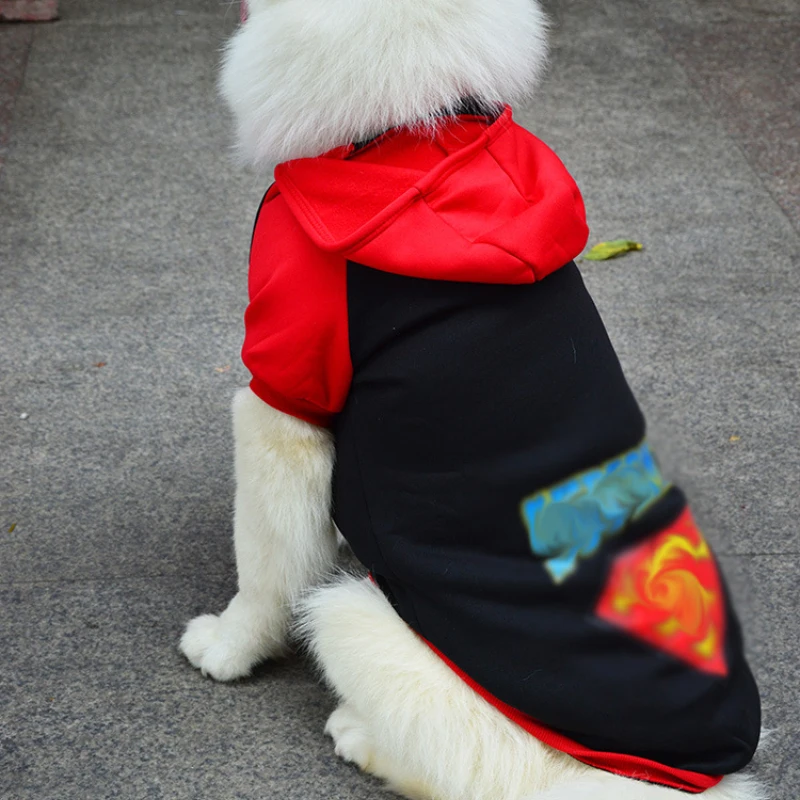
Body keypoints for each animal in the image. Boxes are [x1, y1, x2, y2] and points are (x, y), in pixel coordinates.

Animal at [179, 1, 764, 798]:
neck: (410, 137)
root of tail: (634, 779)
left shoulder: (282, 397)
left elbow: (264, 566)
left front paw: (228, 649)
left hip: (354, 619)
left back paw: (355, 732)